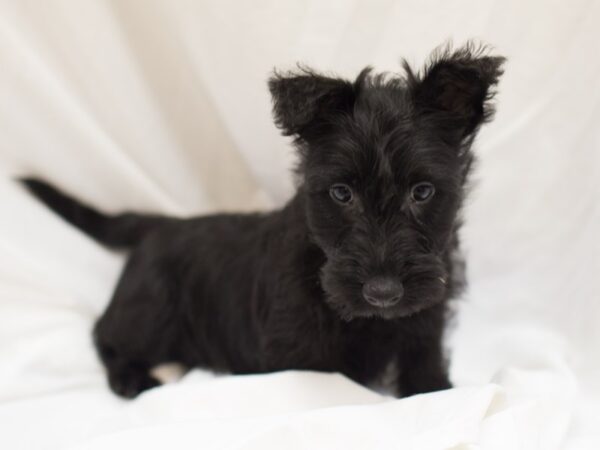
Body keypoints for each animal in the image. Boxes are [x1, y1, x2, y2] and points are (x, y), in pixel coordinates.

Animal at [22, 43, 502, 398]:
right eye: (341, 193)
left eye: (422, 192)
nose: (382, 293)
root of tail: (159, 225)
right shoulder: (297, 357)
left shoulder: (426, 326)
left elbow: (426, 373)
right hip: (151, 311)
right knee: (105, 333)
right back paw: (133, 379)